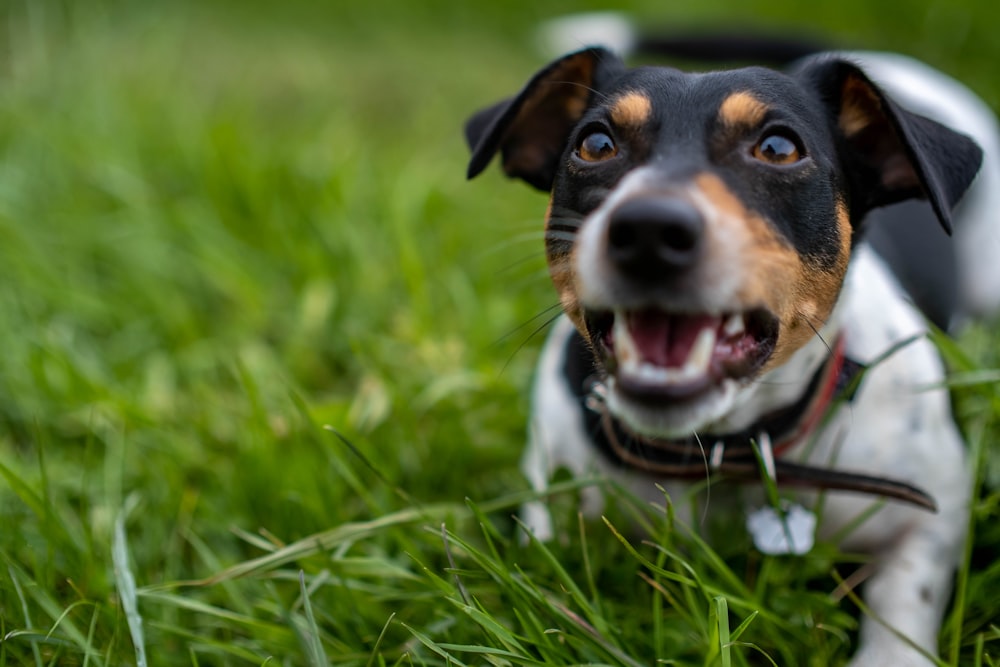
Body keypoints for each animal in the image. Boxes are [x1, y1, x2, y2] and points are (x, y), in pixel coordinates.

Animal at [464, 17, 996, 667]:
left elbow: (904, 600)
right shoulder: (554, 494)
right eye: (595, 144)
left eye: (778, 148)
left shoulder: (935, 510)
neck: (720, 445)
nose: (648, 228)